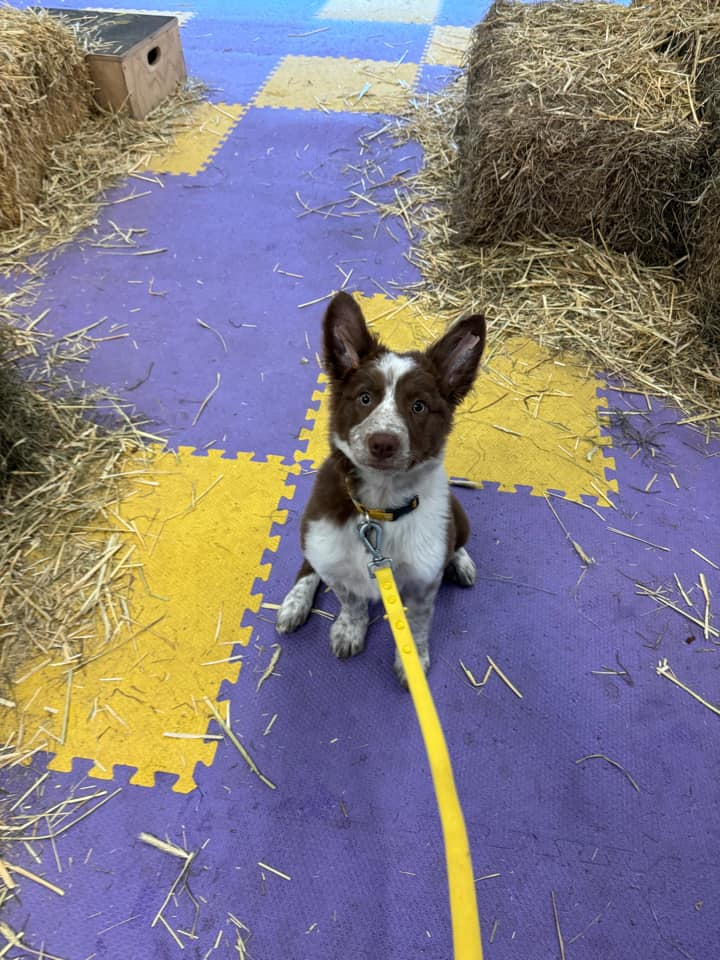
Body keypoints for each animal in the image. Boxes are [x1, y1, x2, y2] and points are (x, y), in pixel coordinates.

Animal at [276, 291, 486, 685]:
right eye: (364, 399)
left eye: (418, 406)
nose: (383, 443)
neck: (380, 508)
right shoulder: (332, 554)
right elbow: (351, 600)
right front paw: (349, 629)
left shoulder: (422, 584)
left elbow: (417, 624)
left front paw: (413, 661)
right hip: (313, 534)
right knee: (309, 565)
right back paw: (296, 601)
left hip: (459, 516)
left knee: (457, 540)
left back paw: (460, 561)